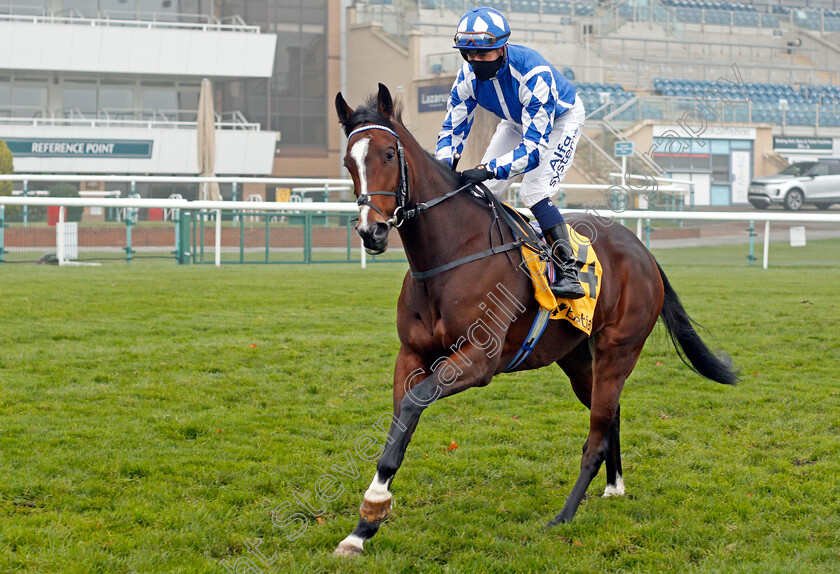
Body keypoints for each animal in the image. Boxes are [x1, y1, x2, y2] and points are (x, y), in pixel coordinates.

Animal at [332, 84, 740, 560]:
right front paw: (363, 527)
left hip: (619, 350)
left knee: (596, 435)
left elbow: (415, 404)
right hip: (579, 359)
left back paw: (564, 516)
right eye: (349, 162)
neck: (450, 255)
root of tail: (643, 252)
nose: (371, 231)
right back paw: (614, 487)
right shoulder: (411, 354)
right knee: (611, 415)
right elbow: (399, 426)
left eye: (387, 155)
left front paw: (374, 508)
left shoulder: (479, 360)